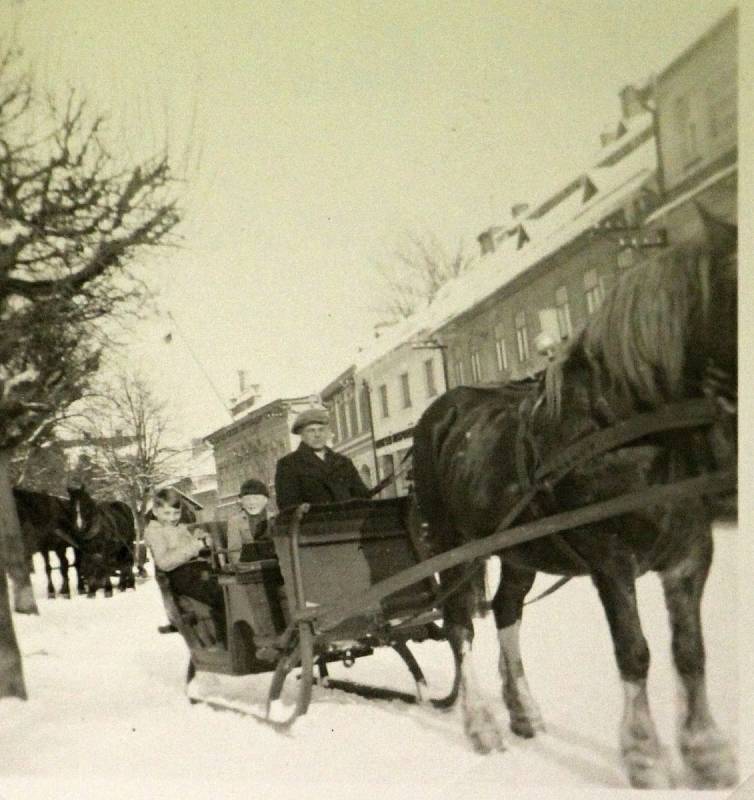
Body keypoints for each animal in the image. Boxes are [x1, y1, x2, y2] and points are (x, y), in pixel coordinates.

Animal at [408, 205, 736, 788]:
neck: (629, 425)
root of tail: (441, 410)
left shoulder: (691, 552)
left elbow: (690, 651)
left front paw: (706, 751)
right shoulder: (611, 560)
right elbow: (634, 651)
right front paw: (644, 755)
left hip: (519, 549)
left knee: (506, 609)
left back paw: (522, 710)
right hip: (453, 546)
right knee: (460, 624)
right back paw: (482, 723)